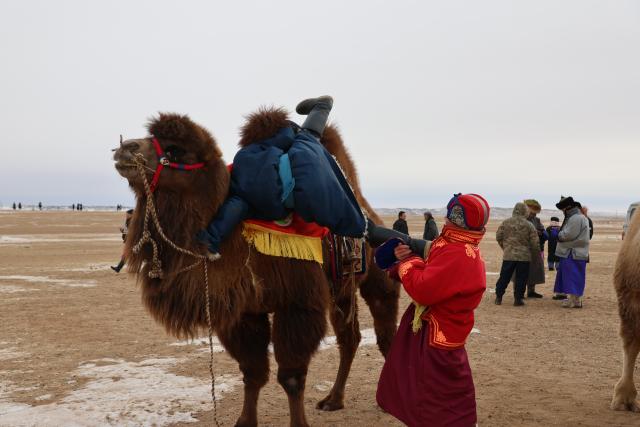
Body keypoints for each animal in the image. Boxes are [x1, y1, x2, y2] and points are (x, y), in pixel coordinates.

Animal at [113, 108, 399, 426]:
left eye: (175, 150)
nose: (126, 147)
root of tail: (369, 211)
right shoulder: (245, 311)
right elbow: (253, 373)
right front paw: (245, 421)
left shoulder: (298, 303)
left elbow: (291, 377)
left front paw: (298, 423)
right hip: (342, 289)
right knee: (349, 338)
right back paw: (333, 400)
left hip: (378, 276)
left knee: (385, 332)